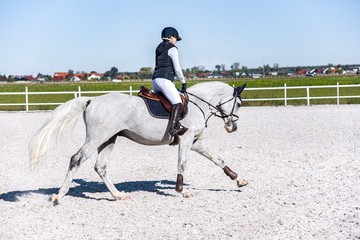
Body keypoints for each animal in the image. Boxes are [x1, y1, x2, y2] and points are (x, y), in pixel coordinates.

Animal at [28, 81, 248, 204]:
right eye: (238, 103)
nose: (233, 127)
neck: (198, 103)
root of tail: (92, 100)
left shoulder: (194, 141)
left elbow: (218, 159)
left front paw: (238, 179)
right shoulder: (186, 139)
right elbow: (182, 163)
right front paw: (182, 190)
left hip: (109, 139)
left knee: (101, 167)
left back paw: (118, 196)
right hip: (96, 138)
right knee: (76, 159)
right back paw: (59, 196)